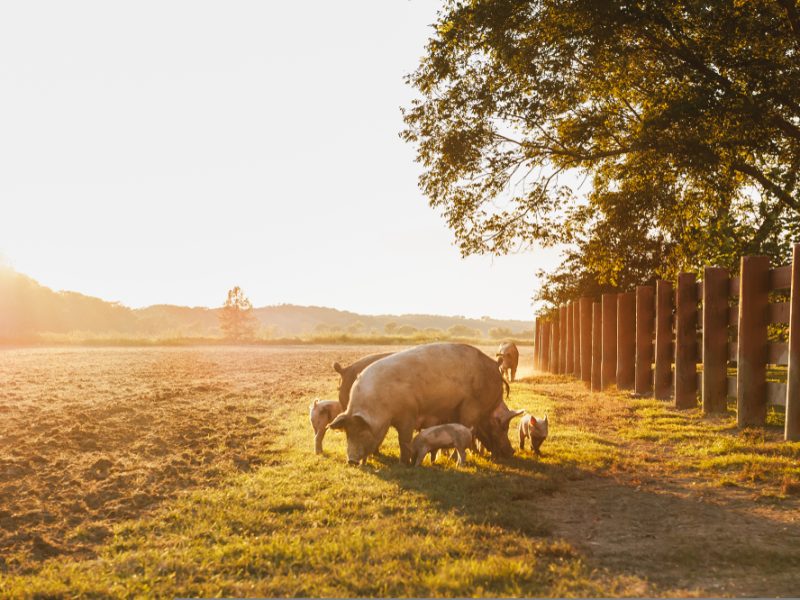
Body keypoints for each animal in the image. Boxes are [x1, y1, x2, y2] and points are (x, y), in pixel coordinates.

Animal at [328, 342, 523, 465]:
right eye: (348, 433)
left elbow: (404, 439)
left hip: (469, 407)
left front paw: (403, 463)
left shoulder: (408, 415)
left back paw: (453, 460)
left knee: (466, 431)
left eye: (361, 431)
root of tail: (495, 367)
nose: (351, 461)